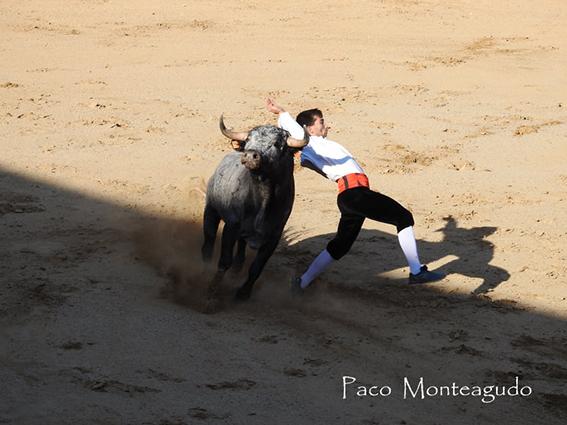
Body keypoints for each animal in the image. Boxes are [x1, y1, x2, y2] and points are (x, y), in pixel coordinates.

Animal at [203, 120, 306, 298]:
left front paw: (243, 293)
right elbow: (224, 261)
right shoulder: (231, 226)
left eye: (277, 143)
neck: (263, 200)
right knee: (209, 241)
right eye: (248, 140)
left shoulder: (272, 238)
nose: (250, 155)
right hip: (211, 210)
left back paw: (237, 269)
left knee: (241, 247)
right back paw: (204, 265)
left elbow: (256, 268)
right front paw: (211, 291)